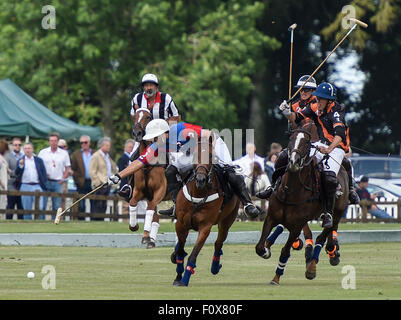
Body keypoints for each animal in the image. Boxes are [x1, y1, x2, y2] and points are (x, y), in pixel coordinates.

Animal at [128, 109, 166, 249]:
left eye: (148, 117)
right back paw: (152, 240)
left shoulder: (160, 190)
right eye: (133, 117)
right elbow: (133, 202)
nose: (137, 133)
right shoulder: (140, 191)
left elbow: (149, 209)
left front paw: (145, 236)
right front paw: (134, 226)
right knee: (156, 218)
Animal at [170, 136, 239, 286]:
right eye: (194, 154)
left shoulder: (205, 227)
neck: (198, 193)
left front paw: (184, 279)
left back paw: (215, 266)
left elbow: (194, 253)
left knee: (219, 243)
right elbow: (180, 249)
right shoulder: (181, 223)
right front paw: (178, 275)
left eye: (211, 156)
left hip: (227, 221)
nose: (200, 180)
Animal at [256, 129, 346, 284]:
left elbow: (285, 251)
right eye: (291, 139)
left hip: (337, 213)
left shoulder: (296, 226)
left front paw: (276, 278)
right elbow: (259, 247)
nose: (293, 161)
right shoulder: (271, 218)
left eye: (306, 142)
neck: (290, 191)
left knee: (324, 234)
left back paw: (314, 266)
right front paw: (267, 250)